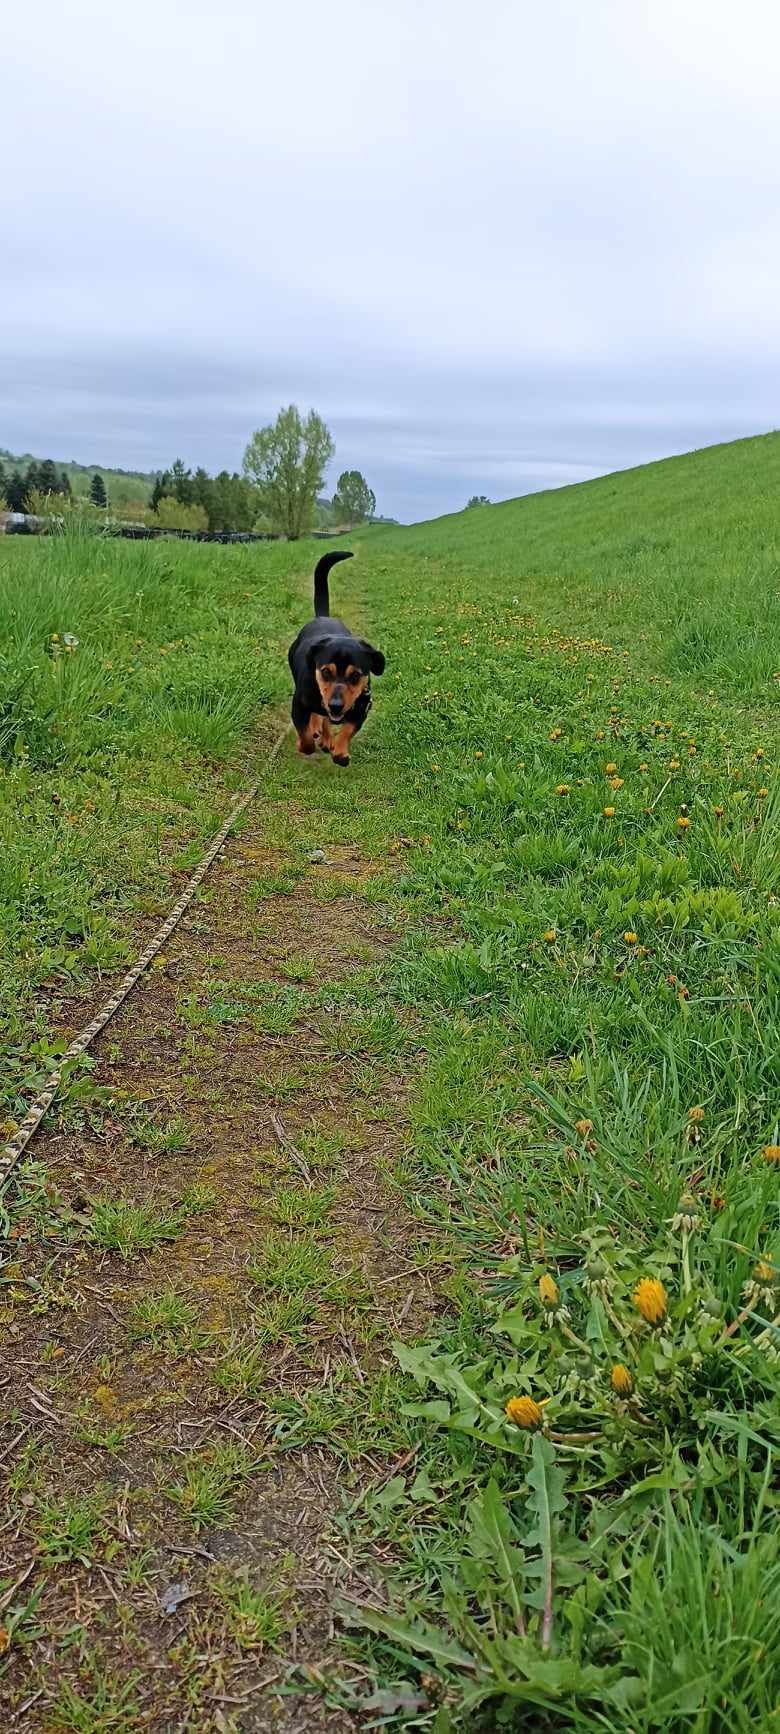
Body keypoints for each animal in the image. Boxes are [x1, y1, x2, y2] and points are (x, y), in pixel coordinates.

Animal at [286, 551, 383, 769]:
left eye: (355, 676)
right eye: (325, 672)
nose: (336, 705)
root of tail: (322, 617)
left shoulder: (362, 707)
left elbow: (347, 730)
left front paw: (340, 753)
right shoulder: (299, 705)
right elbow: (305, 737)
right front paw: (304, 743)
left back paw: (326, 738)